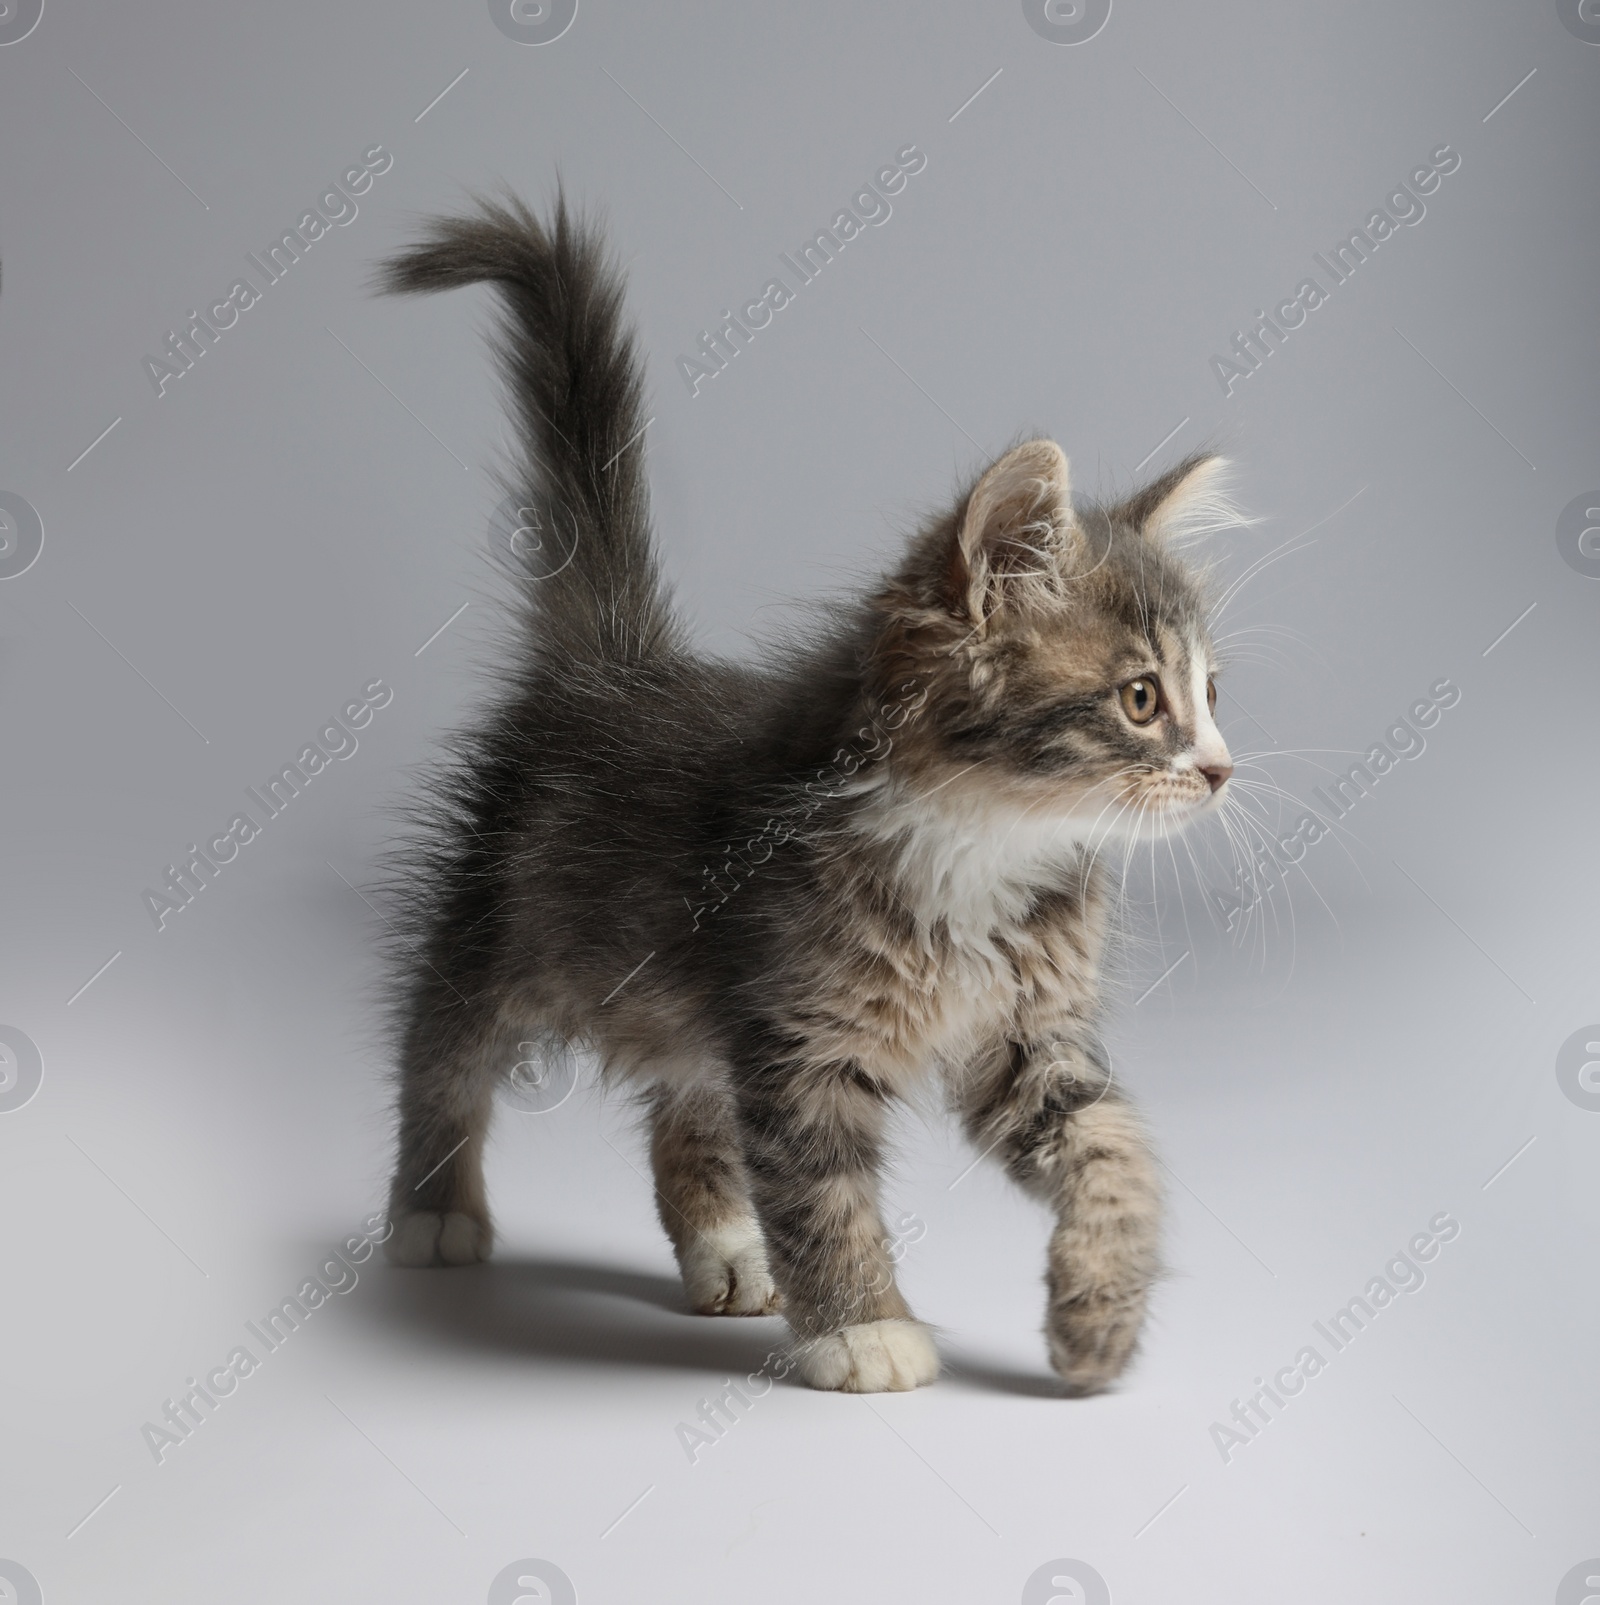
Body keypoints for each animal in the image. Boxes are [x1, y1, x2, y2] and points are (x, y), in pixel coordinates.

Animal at [373, 190, 1238, 1393]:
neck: (982, 842)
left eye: (1216, 693)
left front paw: (1099, 1315)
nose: (1221, 768)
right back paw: (431, 1208)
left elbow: (1114, 1146)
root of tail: (611, 664)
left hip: (682, 991)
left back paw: (724, 1245)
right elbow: (822, 1190)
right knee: (441, 1043)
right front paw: (864, 1326)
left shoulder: (1028, 1036)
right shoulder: (799, 1033)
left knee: (685, 1098)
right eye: (1144, 698)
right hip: (508, 923)